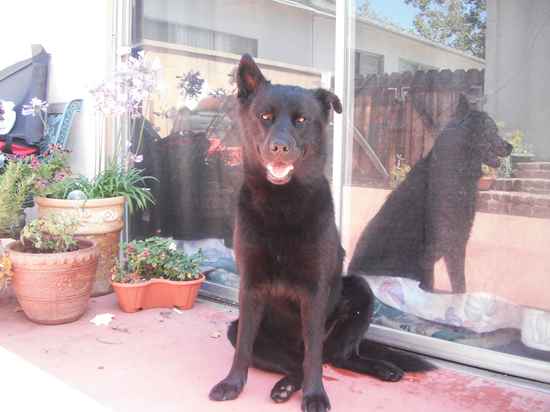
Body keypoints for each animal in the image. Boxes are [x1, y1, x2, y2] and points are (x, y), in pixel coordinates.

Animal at [209, 54, 434, 412]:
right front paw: (232, 384)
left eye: (301, 120)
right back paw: (286, 386)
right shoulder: (250, 288)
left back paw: (382, 368)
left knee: (334, 357)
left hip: (359, 291)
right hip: (239, 327)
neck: (281, 205)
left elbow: (313, 355)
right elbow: (244, 348)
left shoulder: (314, 294)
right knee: (294, 363)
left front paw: (315, 396)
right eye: (265, 117)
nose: (280, 147)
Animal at [352, 95, 516, 292]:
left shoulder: (457, 242)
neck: (456, 170)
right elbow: (442, 285)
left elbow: (459, 285)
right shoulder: (435, 252)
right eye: (492, 130)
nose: (511, 146)